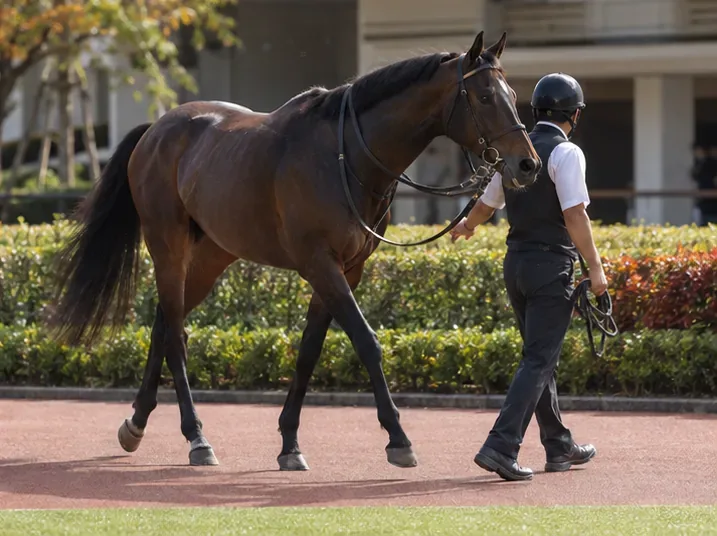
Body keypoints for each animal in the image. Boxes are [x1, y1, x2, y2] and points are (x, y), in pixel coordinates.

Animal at [50, 30, 540, 470]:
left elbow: (308, 353)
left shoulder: (347, 268)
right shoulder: (320, 263)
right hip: (167, 246)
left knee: (163, 326)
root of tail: (157, 129)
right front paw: (398, 438)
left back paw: (136, 424)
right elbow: (366, 341)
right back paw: (196, 438)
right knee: (174, 334)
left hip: (212, 255)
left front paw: (289, 444)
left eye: (514, 94)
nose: (527, 164)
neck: (345, 157)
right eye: (483, 97)